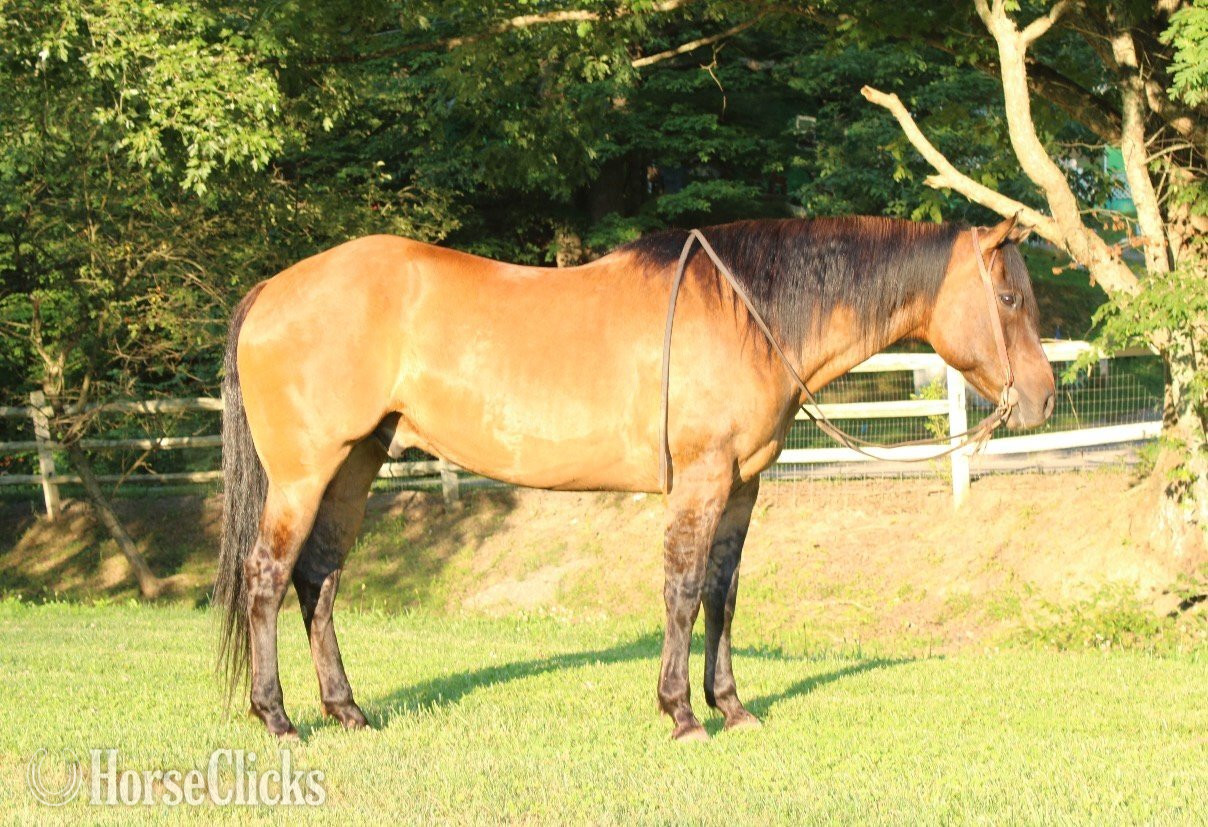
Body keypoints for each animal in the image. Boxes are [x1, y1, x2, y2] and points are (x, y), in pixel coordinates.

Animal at [215, 214, 1055, 741]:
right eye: (1009, 296)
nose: (1045, 397)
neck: (748, 311)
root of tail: (272, 290)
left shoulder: (740, 486)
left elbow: (722, 593)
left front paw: (732, 706)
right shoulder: (700, 482)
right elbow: (682, 590)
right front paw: (681, 712)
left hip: (354, 464)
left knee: (319, 579)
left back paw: (347, 709)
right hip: (303, 474)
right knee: (267, 576)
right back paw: (278, 716)